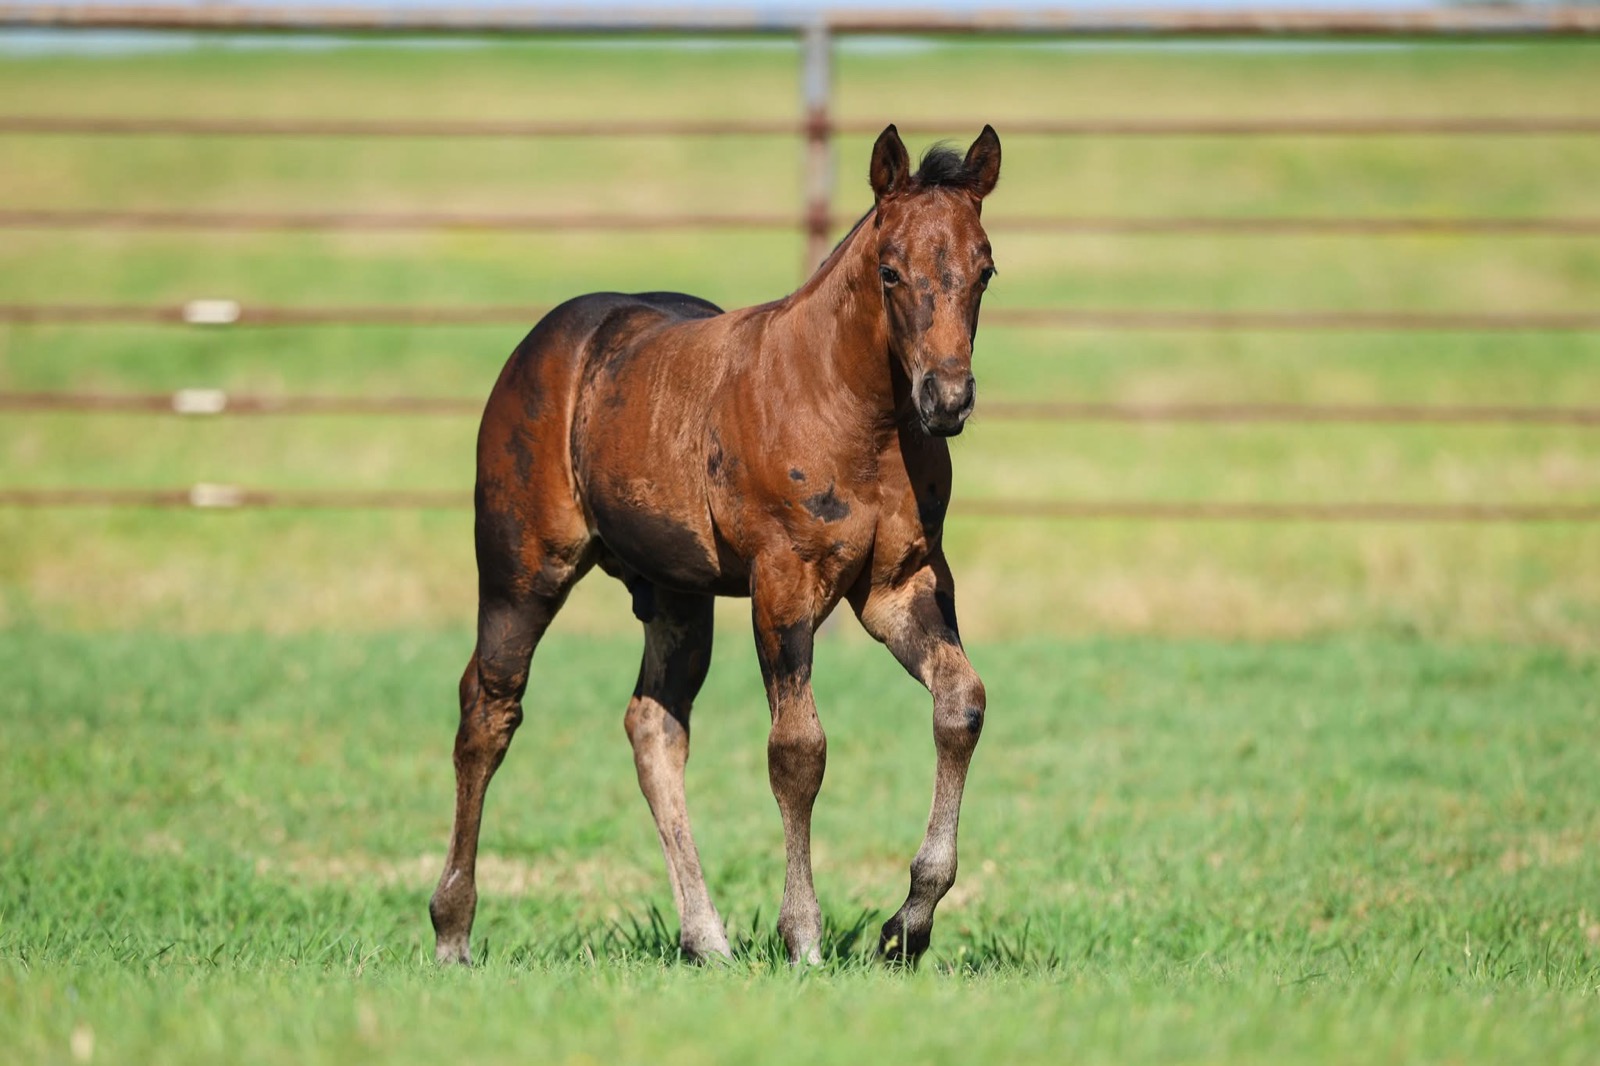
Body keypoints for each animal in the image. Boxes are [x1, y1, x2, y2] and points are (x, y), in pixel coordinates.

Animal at [429, 124, 1001, 966]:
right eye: (891, 270)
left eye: (985, 268)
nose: (948, 399)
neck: (857, 417)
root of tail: (546, 341)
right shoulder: (784, 582)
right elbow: (797, 750)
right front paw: (804, 936)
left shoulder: (902, 585)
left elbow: (960, 705)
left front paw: (908, 925)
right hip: (521, 570)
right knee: (488, 711)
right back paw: (453, 929)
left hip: (675, 592)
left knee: (654, 725)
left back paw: (707, 938)